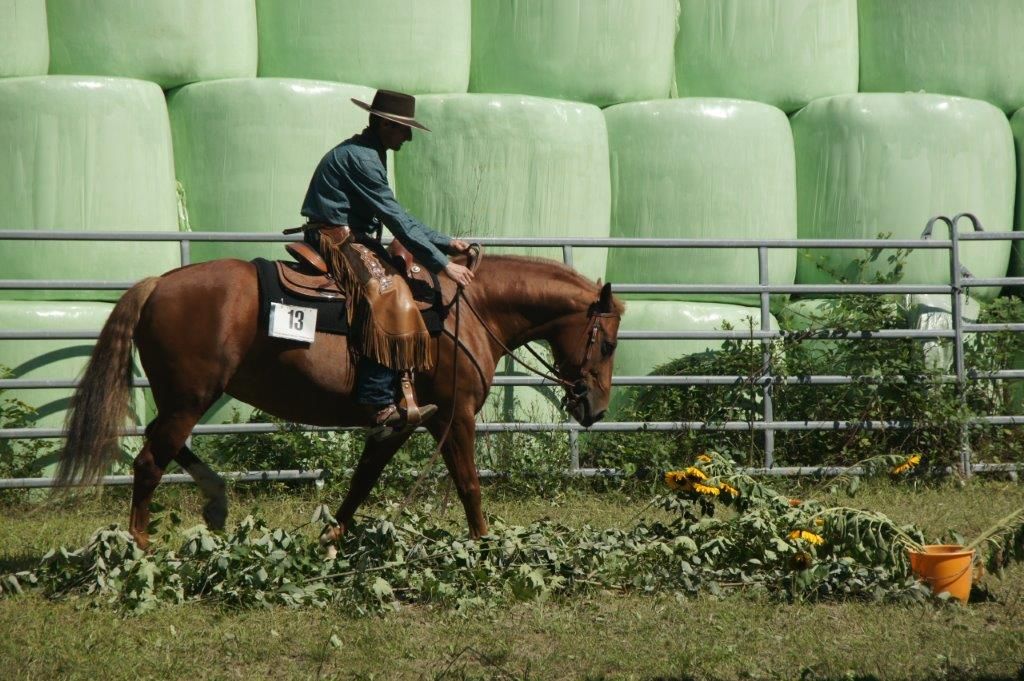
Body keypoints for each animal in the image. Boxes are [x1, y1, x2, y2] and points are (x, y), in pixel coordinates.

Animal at [54, 253, 624, 548]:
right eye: (608, 343)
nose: (595, 409)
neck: (467, 310)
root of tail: (157, 284)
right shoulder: (454, 417)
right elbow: (469, 486)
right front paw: (485, 545)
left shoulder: (400, 422)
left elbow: (362, 481)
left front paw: (331, 538)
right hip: (189, 400)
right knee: (150, 462)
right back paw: (141, 549)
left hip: (182, 400)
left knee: (163, 447)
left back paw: (215, 499)